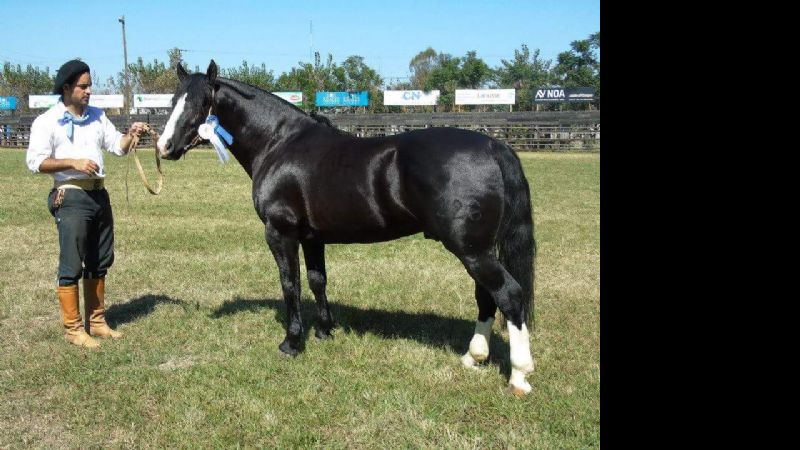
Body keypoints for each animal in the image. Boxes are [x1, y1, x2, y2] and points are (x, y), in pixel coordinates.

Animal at [156, 61, 537, 395]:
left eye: (201, 103)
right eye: (172, 102)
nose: (164, 147)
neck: (278, 143)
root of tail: (494, 145)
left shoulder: (281, 233)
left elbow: (291, 284)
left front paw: (292, 343)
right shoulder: (312, 238)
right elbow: (317, 281)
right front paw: (325, 331)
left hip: (472, 251)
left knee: (509, 295)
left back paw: (519, 376)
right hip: (477, 250)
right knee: (487, 297)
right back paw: (473, 358)